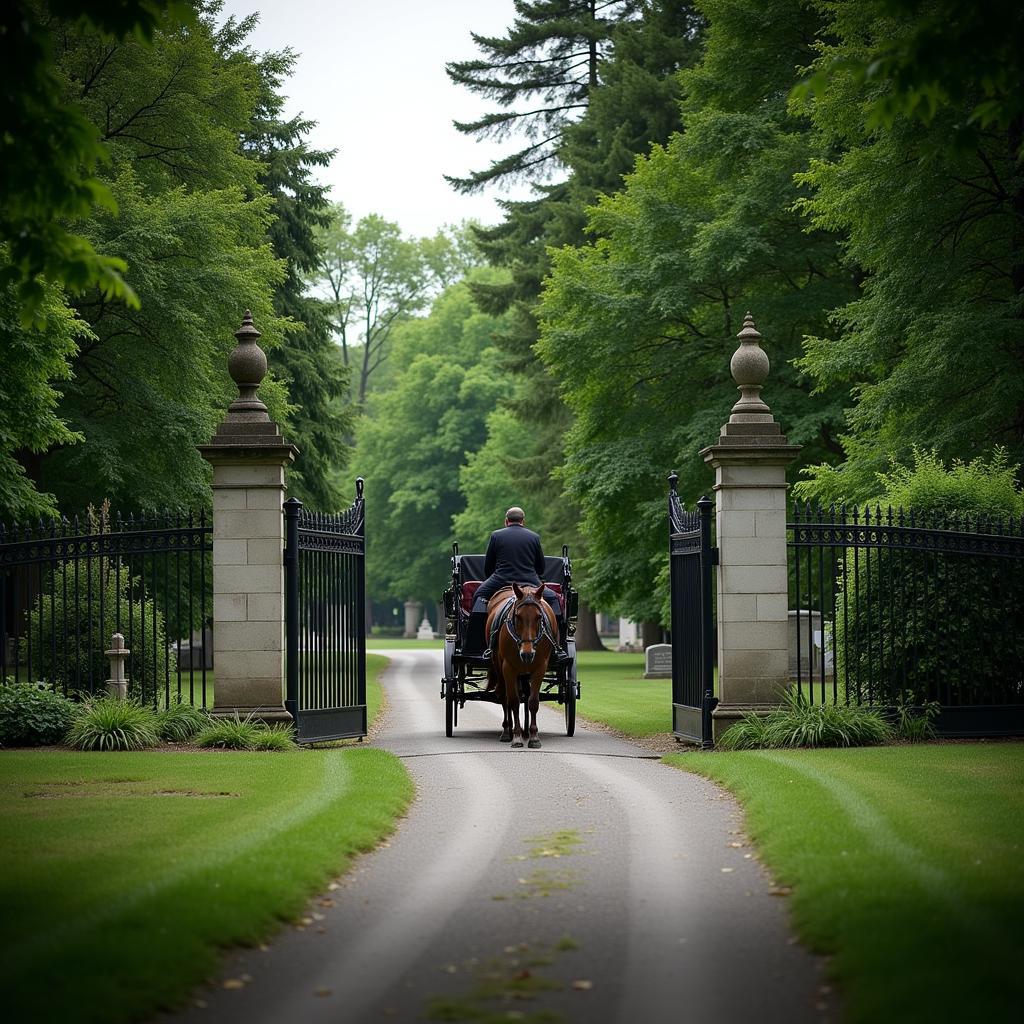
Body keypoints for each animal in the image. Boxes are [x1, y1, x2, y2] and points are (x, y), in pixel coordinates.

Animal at [483, 585, 557, 745]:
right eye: (518, 616)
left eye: (539, 617)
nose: (527, 654)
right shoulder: (508, 668)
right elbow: (514, 701)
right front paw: (516, 735)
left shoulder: (540, 667)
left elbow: (533, 701)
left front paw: (534, 736)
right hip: (500, 669)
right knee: (504, 697)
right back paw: (507, 730)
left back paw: (525, 731)